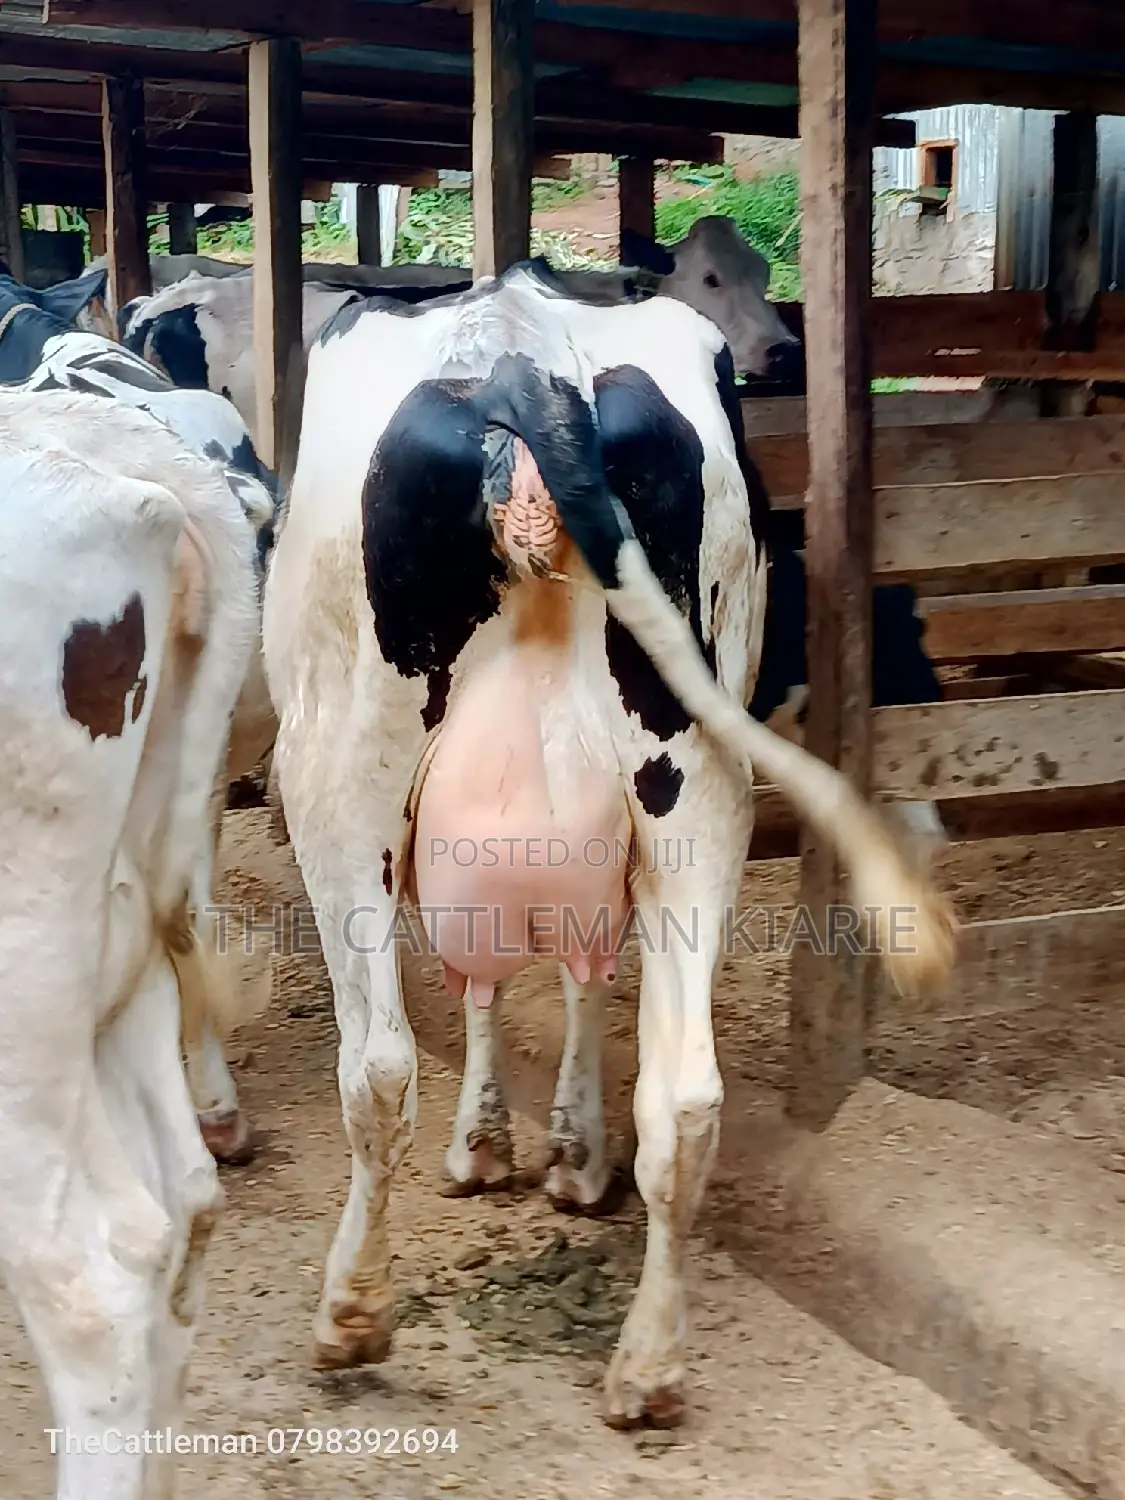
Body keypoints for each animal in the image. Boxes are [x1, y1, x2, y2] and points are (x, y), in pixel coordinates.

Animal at [261, 260, 956, 1428]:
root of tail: (524, 357)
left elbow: (484, 985)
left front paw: (491, 1142)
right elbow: (572, 975)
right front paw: (566, 1149)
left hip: (336, 773)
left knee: (378, 1069)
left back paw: (350, 1313)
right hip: (695, 789)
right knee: (684, 1097)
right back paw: (649, 1367)